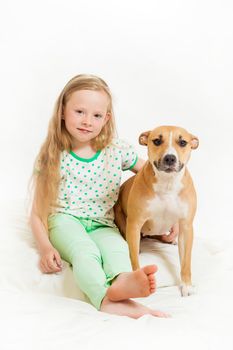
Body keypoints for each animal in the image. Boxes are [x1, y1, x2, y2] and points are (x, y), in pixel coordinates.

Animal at [114, 125, 198, 296]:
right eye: (157, 141)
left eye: (183, 142)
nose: (170, 158)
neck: (167, 183)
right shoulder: (135, 224)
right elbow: (134, 259)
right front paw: (137, 281)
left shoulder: (186, 226)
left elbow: (186, 261)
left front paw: (186, 285)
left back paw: (170, 239)